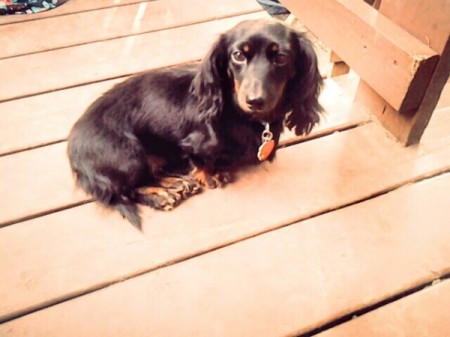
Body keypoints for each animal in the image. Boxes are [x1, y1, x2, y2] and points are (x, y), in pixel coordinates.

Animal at [67, 19, 322, 228]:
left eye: (281, 57)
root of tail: (74, 154)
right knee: (126, 190)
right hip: (129, 156)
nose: (255, 101)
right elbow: (203, 160)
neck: (238, 113)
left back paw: (173, 185)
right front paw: (211, 175)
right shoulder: (193, 144)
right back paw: (161, 194)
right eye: (238, 55)